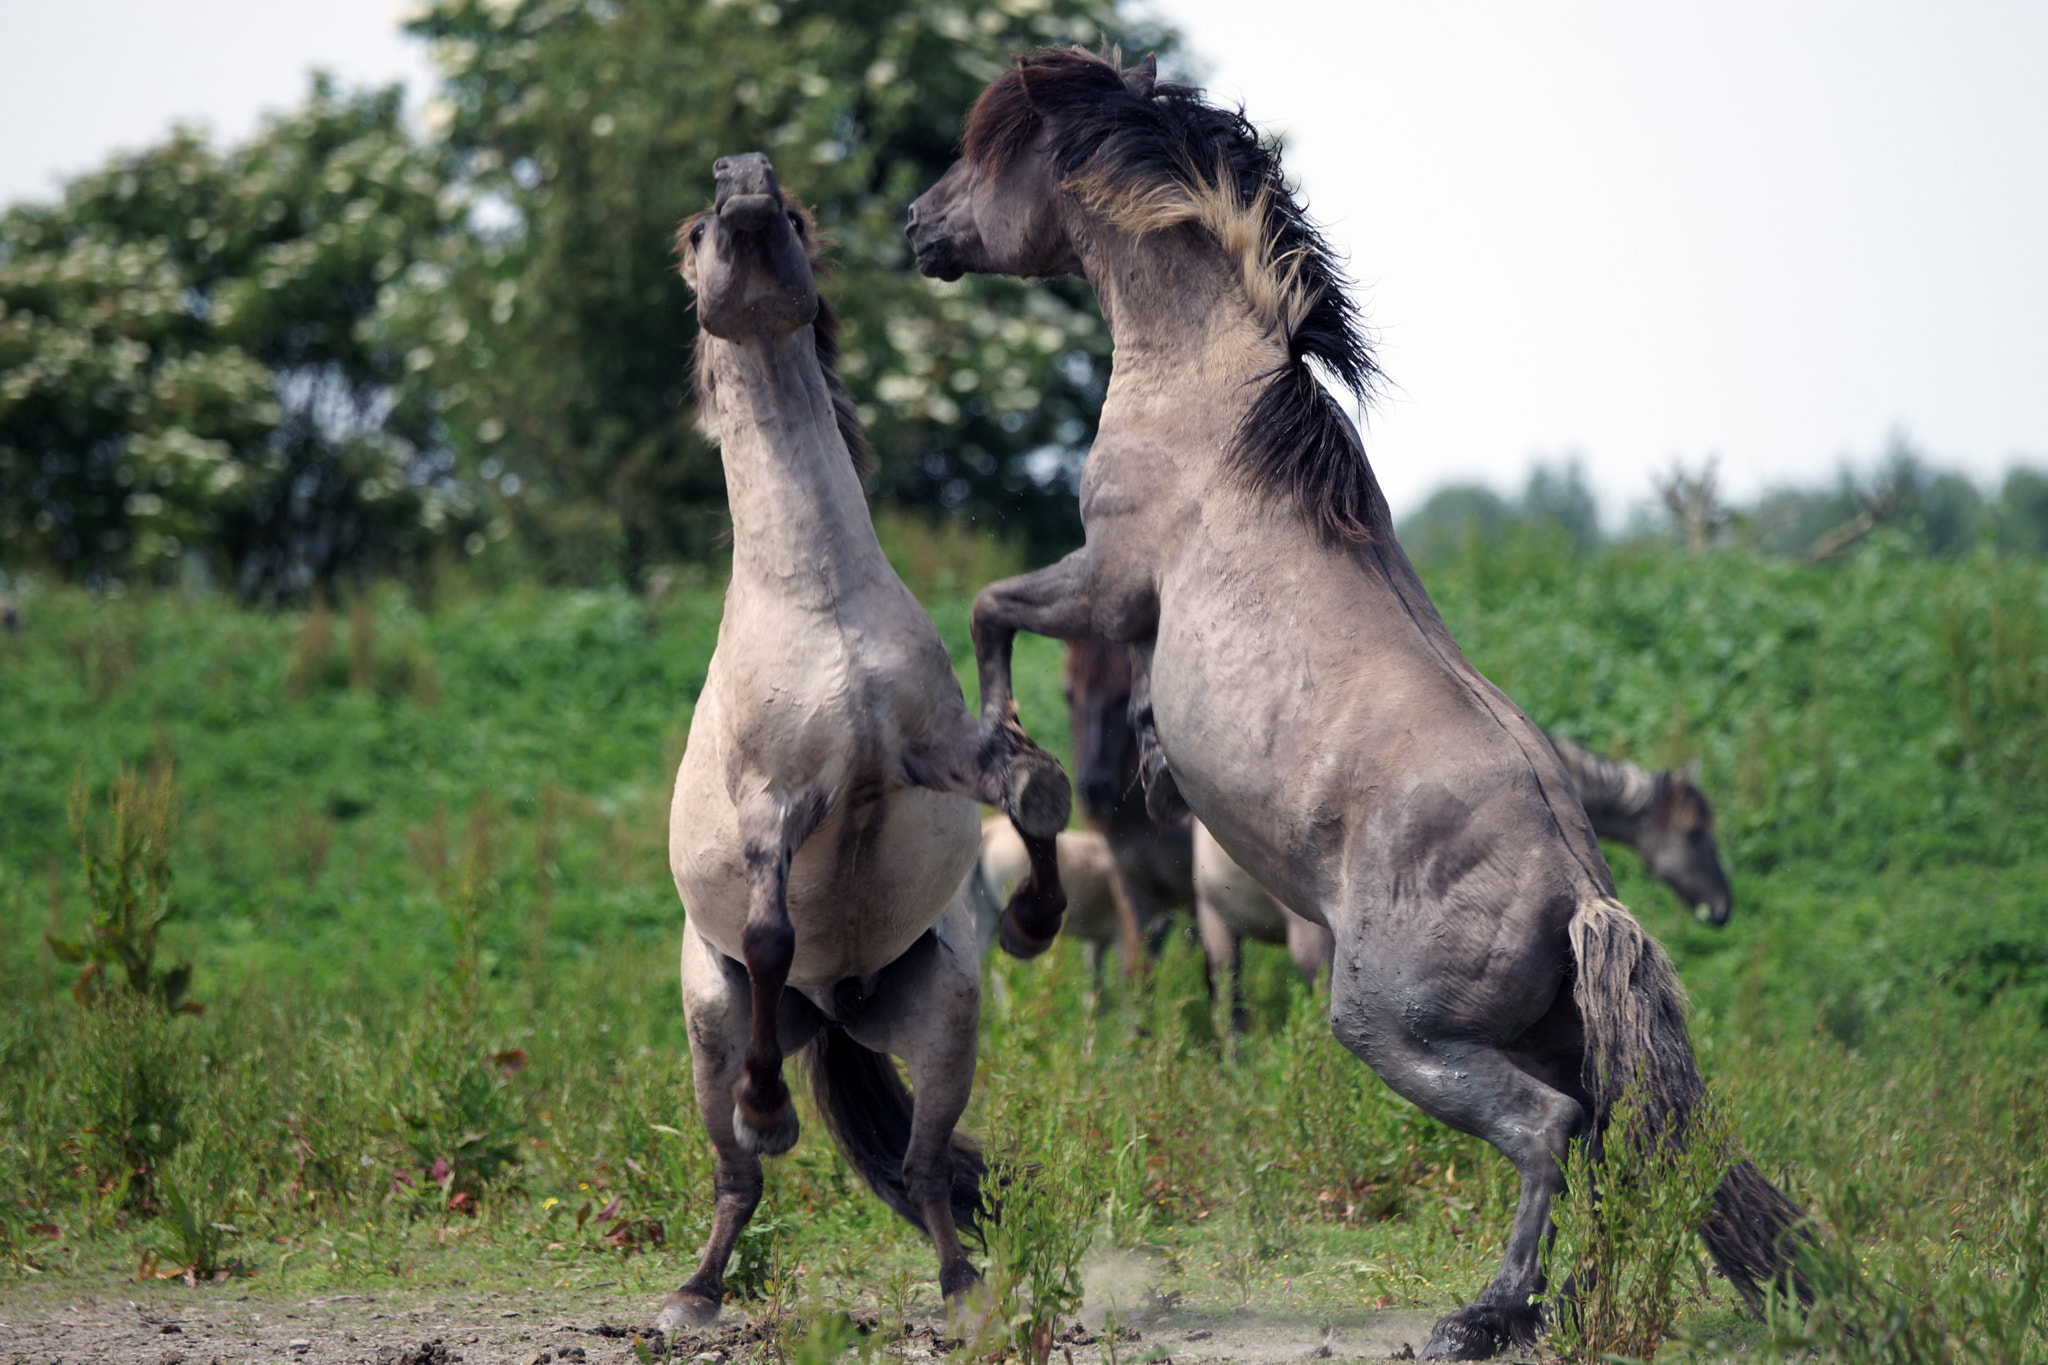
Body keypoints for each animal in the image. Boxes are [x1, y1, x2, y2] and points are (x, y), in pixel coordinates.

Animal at [663, 152, 1064, 1334]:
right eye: (700, 228)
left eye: (790, 214)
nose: (745, 183)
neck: (819, 602)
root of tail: (835, 1013)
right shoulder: (777, 803)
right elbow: (769, 934)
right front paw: (769, 1112)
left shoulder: (925, 751)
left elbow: (1033, 790)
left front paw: (1033, 917)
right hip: (708, 1028)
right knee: (736, 1173)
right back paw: (696, 1287)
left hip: (943, 1020)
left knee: (926, 1169)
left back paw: (965, 1288)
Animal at [913, 50, 1810, 1358]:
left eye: (985, 157)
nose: (917, 223)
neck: (1207, 399)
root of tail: (1581, 896)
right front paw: (1125, 770)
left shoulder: (1107, 581)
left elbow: (989, 612)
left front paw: (1014, 760)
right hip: (1536, 1036)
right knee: (1605, 1143)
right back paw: (1572, 1308)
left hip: (1390, 1028)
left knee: (1545, 1131)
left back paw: (1484, 1313)